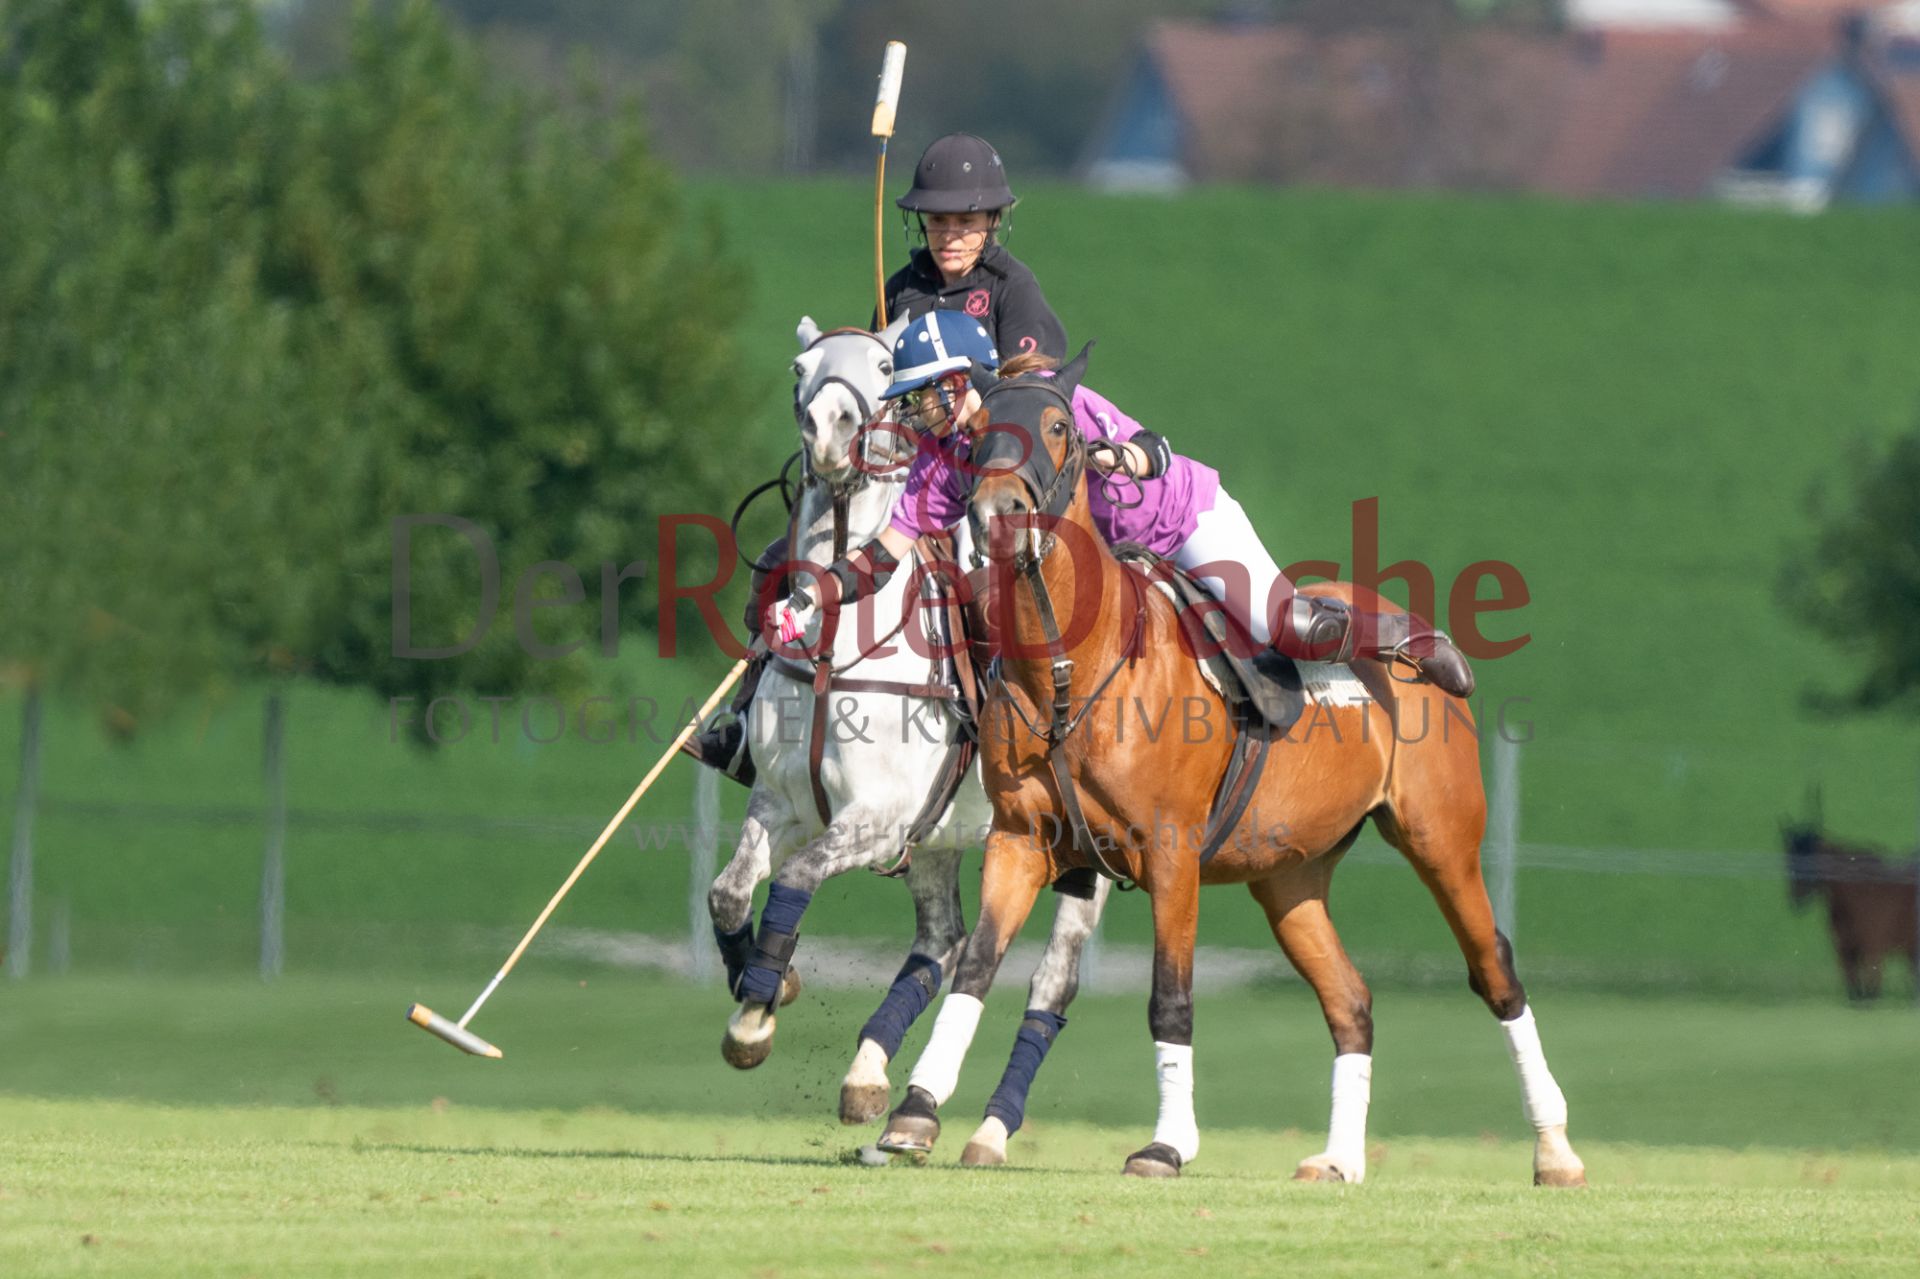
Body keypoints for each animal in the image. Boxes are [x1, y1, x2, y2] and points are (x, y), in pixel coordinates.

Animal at [708, 318, 1111, 1153]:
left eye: (884, 364)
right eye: (800, 365)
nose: (828, 428)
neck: (836, 639)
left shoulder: (878, 816)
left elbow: (795, 879)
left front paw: (759, 1010)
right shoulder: (781, 801)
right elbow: (729, 891)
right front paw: (764, 984)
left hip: (1080, 853)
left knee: (1050, 981)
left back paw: (988, 1123)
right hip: (936, 838)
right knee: (941, 939)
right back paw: (869, 1076)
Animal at [876, 349, 1586, 1185]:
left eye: (1058, 425)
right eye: (977, 429)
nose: (999, 512)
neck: (1067, 668)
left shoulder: (1171, 852)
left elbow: (1170, 998)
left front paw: (1167, 1143)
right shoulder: (1019, 839)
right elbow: (977, 965)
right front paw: (915, 1110)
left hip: (1441, 837)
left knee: (1494, 970)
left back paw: (1555, 1146)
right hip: (1290, 875)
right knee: (1351, 999)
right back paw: (1341, 1157)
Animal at [1783, 822, 1920, 1002]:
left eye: (1812, 859)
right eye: (1788, 859)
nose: (1796, 899)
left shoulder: (1873, 953)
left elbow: (1870, 995)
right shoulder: (1846, 954)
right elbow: (1855, 994)